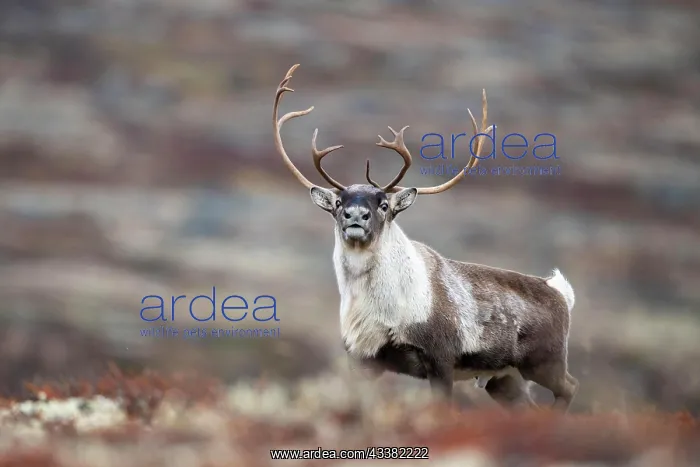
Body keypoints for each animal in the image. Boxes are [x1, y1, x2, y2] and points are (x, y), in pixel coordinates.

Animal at [272, 64, 579, 412]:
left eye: (384, 204)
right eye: (338, 202)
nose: (355, 216)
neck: (379, 306)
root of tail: (559, 290)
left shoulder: (440, 359)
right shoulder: (364, 361)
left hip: (544, 363)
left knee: (570, 387)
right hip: (504, 378)